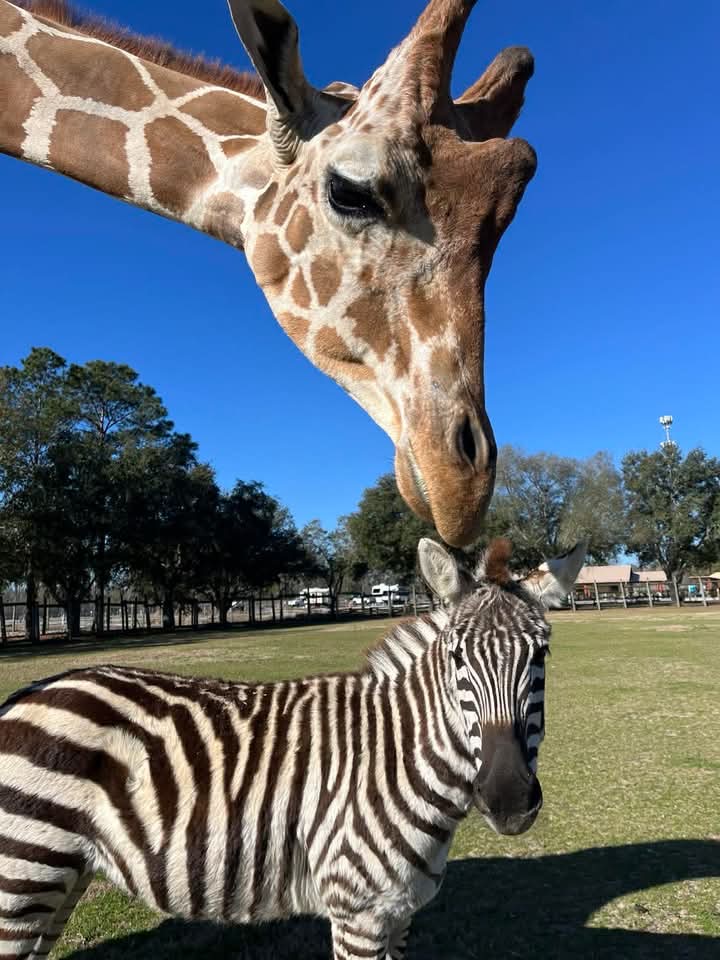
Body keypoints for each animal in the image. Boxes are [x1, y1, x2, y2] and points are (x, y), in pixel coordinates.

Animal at [0, 537, 585, 960]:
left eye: (542, 654)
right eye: (457, 658)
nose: (508, 800)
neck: (399, 756)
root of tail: (32, 690)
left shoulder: (400, 914)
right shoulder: (359, 913)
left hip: (60, 880)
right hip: (22, 880)